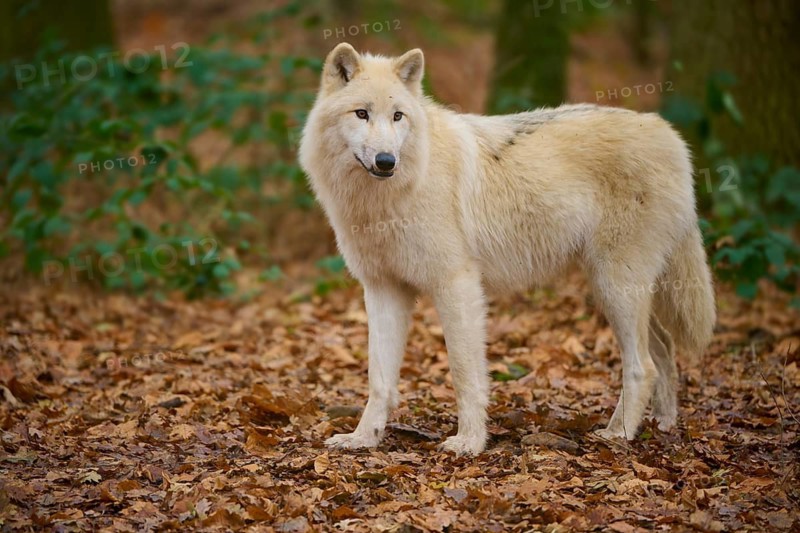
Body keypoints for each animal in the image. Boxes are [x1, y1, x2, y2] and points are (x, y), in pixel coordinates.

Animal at [298, 43, 716, 456]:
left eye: (398, 116)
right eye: (362, 113)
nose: (387, 161)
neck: (387, 197)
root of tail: (669, 135)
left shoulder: (457, 284)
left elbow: (464, 372)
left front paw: (469, 441)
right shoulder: (383, 289)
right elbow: (379, 377)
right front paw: (362, 438)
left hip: (614, 286)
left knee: (643, 365)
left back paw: (619, 435)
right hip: (616, 289)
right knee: (664, 350)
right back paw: (660, 425)